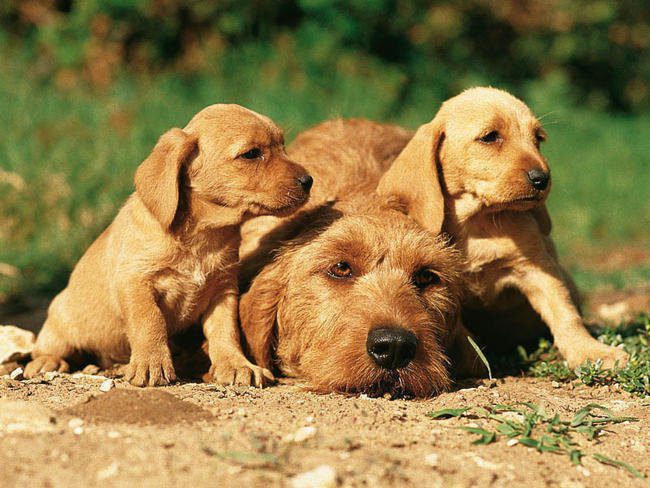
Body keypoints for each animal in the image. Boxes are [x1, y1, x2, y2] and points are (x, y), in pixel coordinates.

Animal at [22, 104, 312, 386]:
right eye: (251, 154)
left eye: (283, 146)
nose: (309, 181)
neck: (203, 236)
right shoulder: (135, 282)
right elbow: (150, 322)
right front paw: (152, 364)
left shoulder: (223, 290)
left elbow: (226, 331)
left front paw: (236, 364)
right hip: (60, 320)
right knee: (48, 348)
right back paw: (47, 362)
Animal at [374, 88, 628, 370]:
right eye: (490, 137)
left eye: (538, 139)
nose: (542, 179)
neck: (479, 223)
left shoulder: (537, 269)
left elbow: (565, 313)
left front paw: (590, 351)